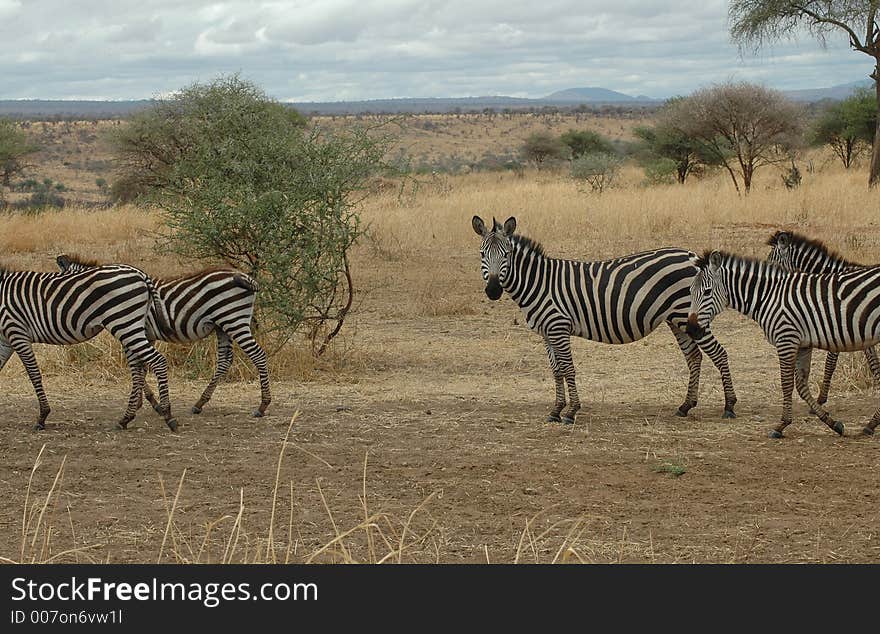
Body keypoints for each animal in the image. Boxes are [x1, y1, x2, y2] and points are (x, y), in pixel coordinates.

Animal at [0, 260, 179, 430]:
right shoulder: (5, 339)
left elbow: (34, 374)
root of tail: (140, 273)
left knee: (157, 361)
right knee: (138, 368)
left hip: (124, 323)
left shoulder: (17, 332)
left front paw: (43, 416)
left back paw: (168, 415)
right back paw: (126, 419)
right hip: (131, 325)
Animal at [56, 254, 270, 418]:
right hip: (223, 326)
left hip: (234, 320)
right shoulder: (144, 334)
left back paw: (262, 406)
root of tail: (242, 275)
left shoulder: (131, 332)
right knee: (225, 361)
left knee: (258, 355)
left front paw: (151, 403)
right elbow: (142, 367)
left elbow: (139, 367)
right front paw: (143, 402)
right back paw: (199, 403)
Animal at [470, 215, 740, 422]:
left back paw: (729, 406)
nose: (493, 291)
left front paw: (571, 411)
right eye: (482, 254)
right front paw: (556, 411)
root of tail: (691, 255)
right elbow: (556, 370)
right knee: (694, 357)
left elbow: (568, 368)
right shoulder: (546, 332)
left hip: (687, 316)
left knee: (719, 353)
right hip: (678, 319)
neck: (539, 283)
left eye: (506, 254)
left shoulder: (558, 327)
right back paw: (685, 406)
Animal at [688, 249, 880, 436]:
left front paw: (781, 425)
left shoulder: (786, 339)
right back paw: (870, 424)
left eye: (707, 292)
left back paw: (871, 425)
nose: (691, 330)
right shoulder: (803, 344)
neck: (768, 297)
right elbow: (801, 384)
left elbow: (786, 384)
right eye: (689, 291)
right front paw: (831, 422)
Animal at [764, 230, 880, 402]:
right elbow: (873, 362)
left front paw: (821, 399)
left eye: (771, 261)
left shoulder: (838, 326)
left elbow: (830, 363)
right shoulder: (859, 330)